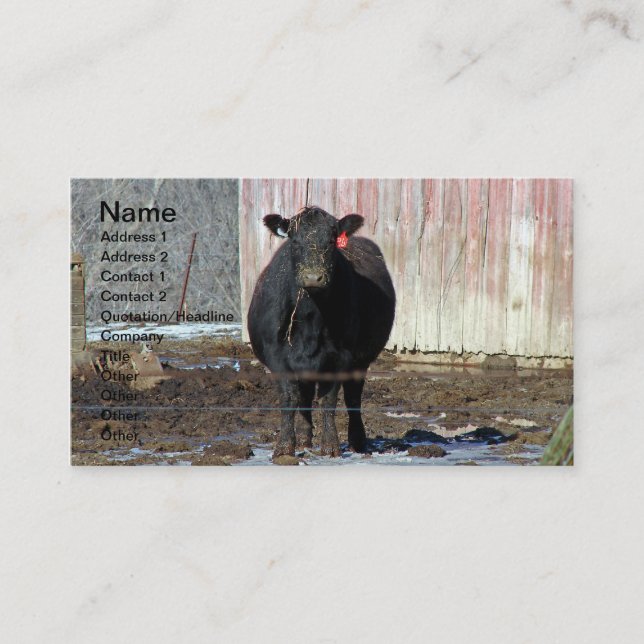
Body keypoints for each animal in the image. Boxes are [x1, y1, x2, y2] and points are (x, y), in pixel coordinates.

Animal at [247, 205, 395, 460]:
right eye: (294, 241)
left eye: (331, 241)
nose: (313, 277)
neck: (310, 316)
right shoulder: (277, 357)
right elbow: (289, 398)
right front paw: (285, 447)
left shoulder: (340, 357)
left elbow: (328, 400)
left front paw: (330, 446)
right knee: (305, 397)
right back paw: (304, 438)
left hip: (360, 361)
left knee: (352, 397)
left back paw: (357, 441)